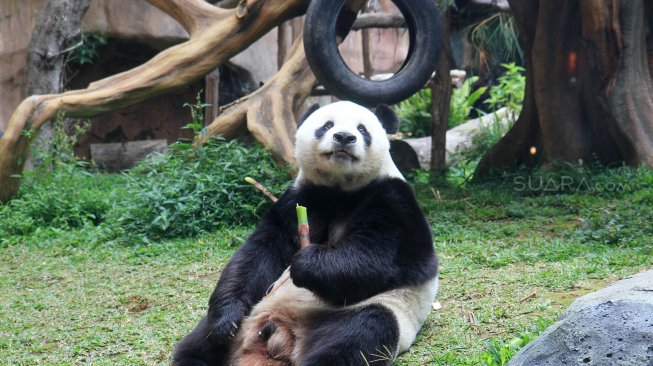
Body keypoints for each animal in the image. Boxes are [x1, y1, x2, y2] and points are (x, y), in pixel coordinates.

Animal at [173, 101, 438, 366]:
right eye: (327, 125)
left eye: (362, 129)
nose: (344, 137)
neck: (341, 190)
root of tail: (279, 335)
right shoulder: (301, 198)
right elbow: (259, 253)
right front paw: (226, 320)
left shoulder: (394, 200)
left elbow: (383, 256)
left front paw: (306, 264)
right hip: (253, 312)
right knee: (198, 342)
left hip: (364, 313)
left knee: (358, 335)